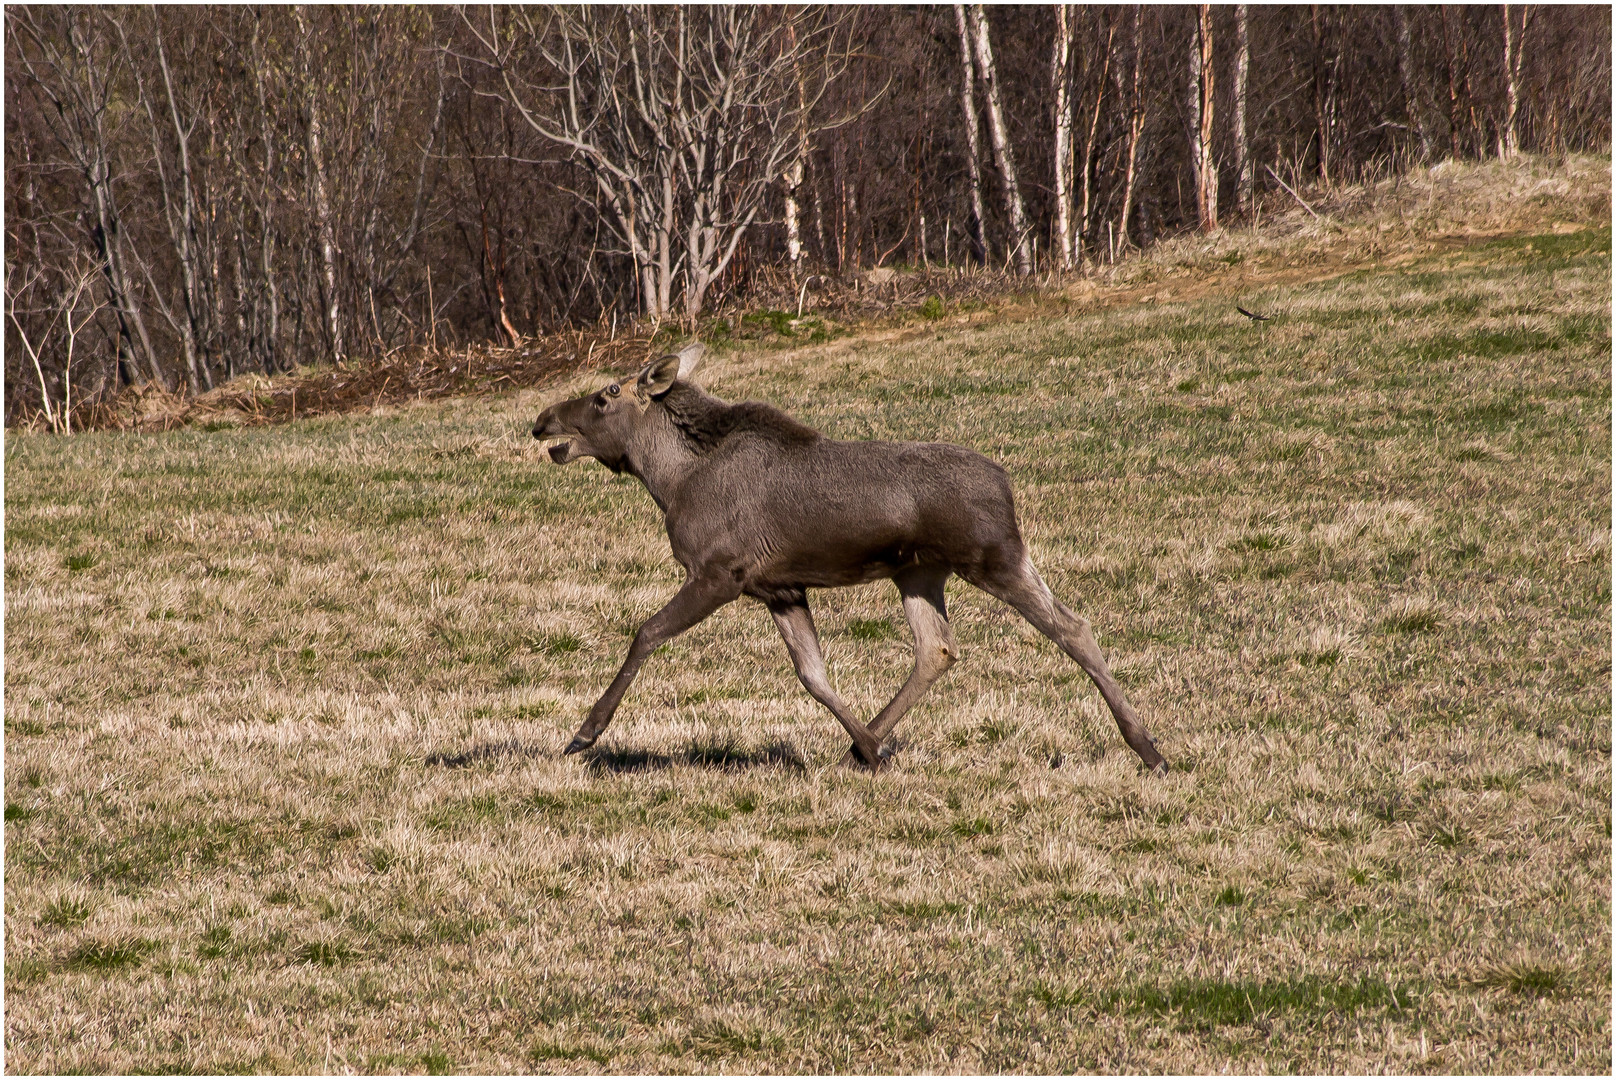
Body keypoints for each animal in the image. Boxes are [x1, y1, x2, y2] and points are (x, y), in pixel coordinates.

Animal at [536, 341, 1169, 772]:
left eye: (605, 395)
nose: (542, 420)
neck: (669, 480)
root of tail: (1007, 483)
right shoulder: (779, 588)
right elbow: (813, 675)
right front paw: (870, 746)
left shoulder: (719, 573)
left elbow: (645, 633)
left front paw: (585, 734)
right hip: (919, 571)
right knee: (937, 649)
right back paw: (861, 747)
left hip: (994, 557)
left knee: (1072, 627)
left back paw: (1149, 748)